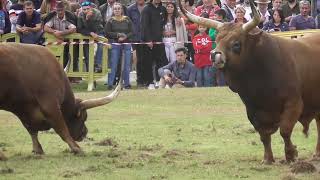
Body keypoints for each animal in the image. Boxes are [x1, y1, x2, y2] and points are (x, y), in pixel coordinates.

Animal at [178, 0, 320, 164]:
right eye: (217, 39)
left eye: (236, 44)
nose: (215, 56)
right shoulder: (252, 109)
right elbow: (264, 136)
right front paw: (268, 159)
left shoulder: (294, 103)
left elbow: (285, 131)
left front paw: (291, 154)